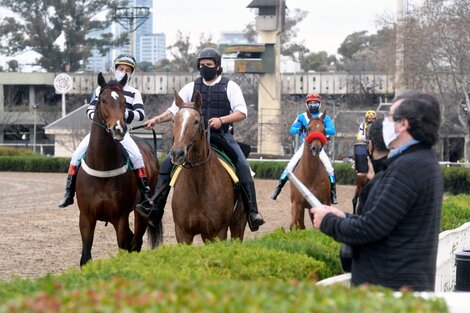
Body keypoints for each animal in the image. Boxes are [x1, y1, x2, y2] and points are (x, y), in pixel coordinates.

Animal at [76, 73, 162, 266]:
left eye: (123, 101)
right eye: (102, 100)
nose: (119, 129)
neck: (102, 168)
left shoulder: (120, 217)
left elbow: (125, 246)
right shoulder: (86, 216)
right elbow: (85, 256)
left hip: (141, 211)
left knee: (136, 241)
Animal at [170, 89, 250, 243]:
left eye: (196, 121)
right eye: (174, 120)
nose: (177, 153)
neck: (198, 185)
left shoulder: (218, 231)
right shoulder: (182, 232)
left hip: (238, 224)